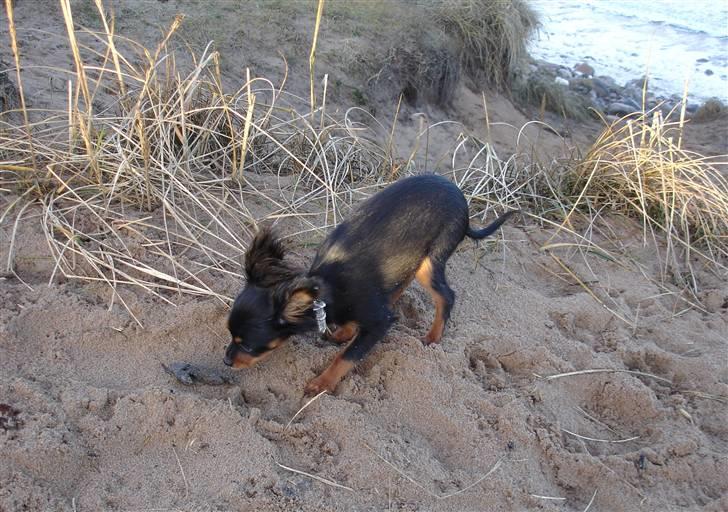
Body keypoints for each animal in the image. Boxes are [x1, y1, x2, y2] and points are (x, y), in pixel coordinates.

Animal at [225, 174, 516, 394]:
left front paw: (322, 384)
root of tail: (459, 195)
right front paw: (344, 332)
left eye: (247, 345)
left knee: (447, 296)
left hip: (430, 262)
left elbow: (346, 358)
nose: (227, 361)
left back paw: (432, 337)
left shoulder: (379, 323)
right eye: (230, 336)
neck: (327, 290)